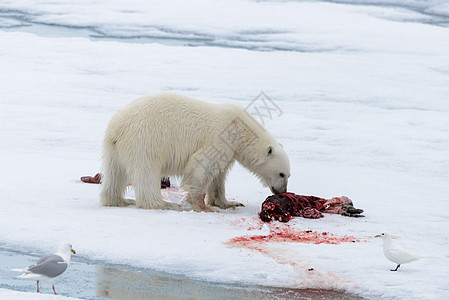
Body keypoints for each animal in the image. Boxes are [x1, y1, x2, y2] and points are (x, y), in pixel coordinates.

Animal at [100, 92, 290, 212]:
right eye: (281, 174)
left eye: (288, 175)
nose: (282, 191)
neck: (241, 129)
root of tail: (117, 128)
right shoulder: (220, 138)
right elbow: (202, 165)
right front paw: (203, 206)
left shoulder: (229, 150)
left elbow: (218, 176)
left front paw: (229, 203)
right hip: (145, 141)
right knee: (146, 172)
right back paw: (165, 204)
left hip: (113, 148)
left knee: (114, 174)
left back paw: (120, 200)